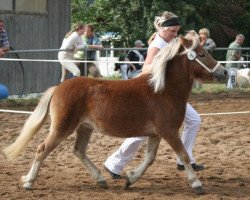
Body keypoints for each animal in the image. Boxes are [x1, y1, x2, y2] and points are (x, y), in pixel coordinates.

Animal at [2, 31, 229, 194]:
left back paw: (101, 179)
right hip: (62, 127)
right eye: (202, 54)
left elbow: (149, 159)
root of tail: (58, 88)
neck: (163, 90)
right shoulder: (169, 132)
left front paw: (130, 179)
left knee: (78, 150)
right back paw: (29, 182)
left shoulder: (156, 134)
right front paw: (196, 184)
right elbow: (183, 154)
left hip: (84, 128)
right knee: (42, 149)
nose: (225, 72)